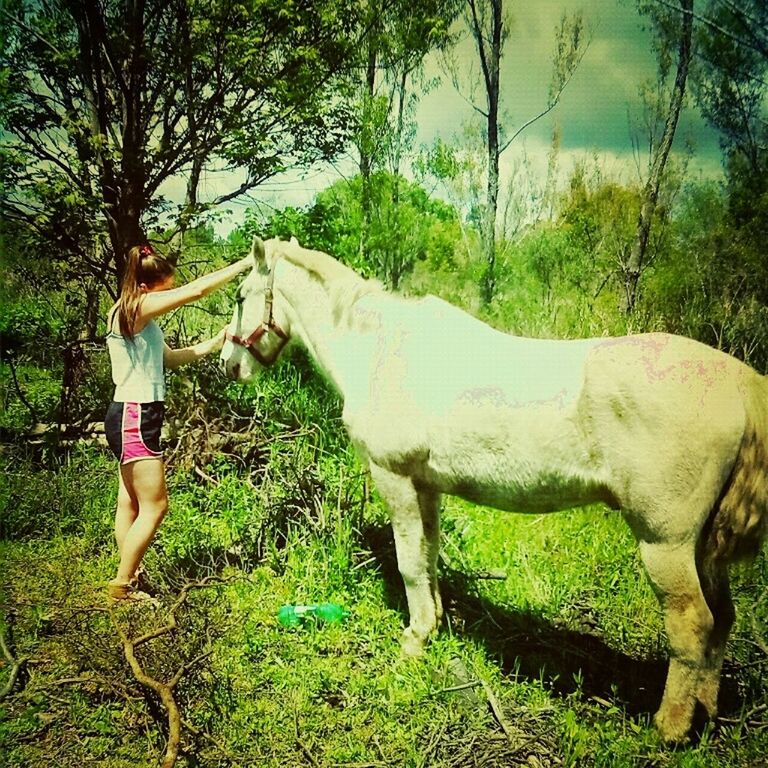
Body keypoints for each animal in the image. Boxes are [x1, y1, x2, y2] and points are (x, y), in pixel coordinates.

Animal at [219, 237, 764, 740]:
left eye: (242, 295)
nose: (228, 364)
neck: (378, 350)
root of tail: (739, 385)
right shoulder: (426, 485)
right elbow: (428, 556)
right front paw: (433, 624)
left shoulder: (394, 477)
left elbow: (409, 563)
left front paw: (413, 641)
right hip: (704, 549)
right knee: (722, 619)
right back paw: (705, 711)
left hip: (665, 544)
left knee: (693, 624)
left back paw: (669, 728)